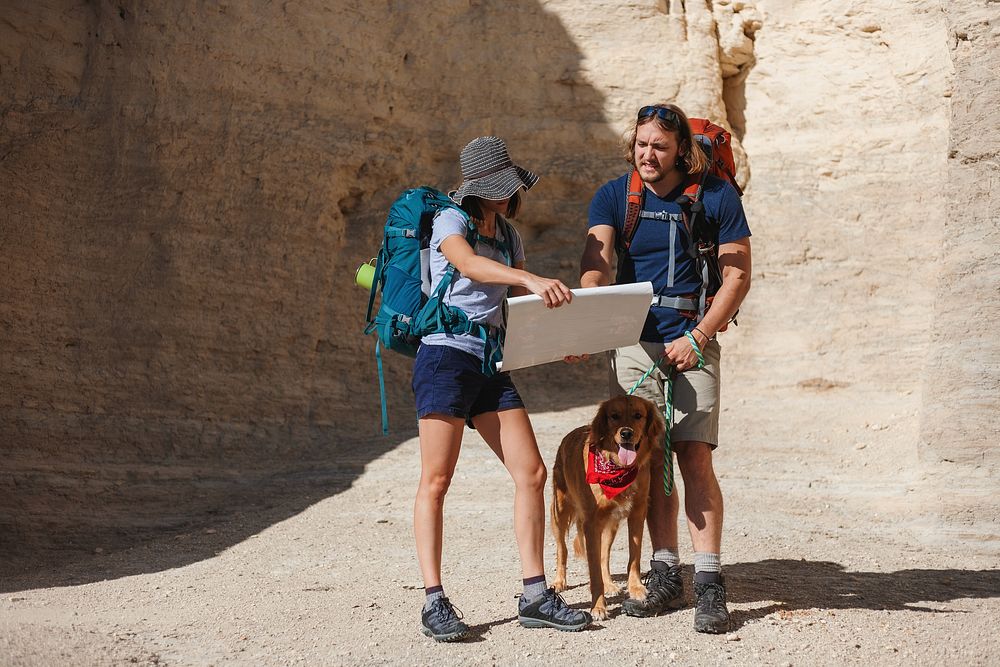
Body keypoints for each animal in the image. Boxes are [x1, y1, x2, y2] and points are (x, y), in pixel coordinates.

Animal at [548, 396, 664, 620]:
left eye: (638, 415)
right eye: (614, 416)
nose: (626, 433)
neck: (617, 467)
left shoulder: (638, 513)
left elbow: (633, 557)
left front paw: (635, 588)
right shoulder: (591, 523)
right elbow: (593, 571)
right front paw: (598, 606)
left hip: (611, 525)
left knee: (603, 556)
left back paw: (610, 584)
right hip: (559, 512)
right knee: (562, 549)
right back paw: (559, 581)